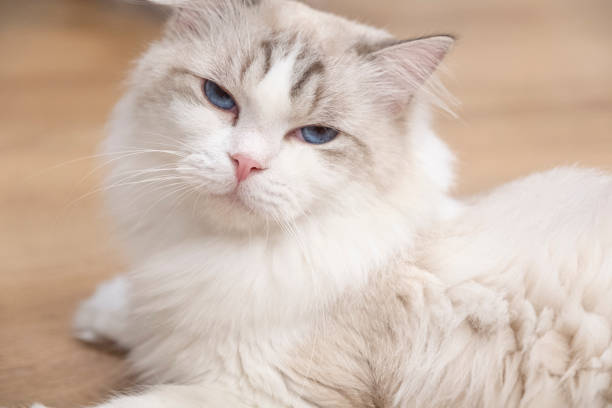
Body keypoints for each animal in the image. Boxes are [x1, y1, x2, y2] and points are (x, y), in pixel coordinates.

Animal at [39, 0, 612, 406]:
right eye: (219, 99)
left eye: (316, 135)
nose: (245, 162)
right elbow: (142, 314)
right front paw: (104, 312)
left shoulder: (266, 391)